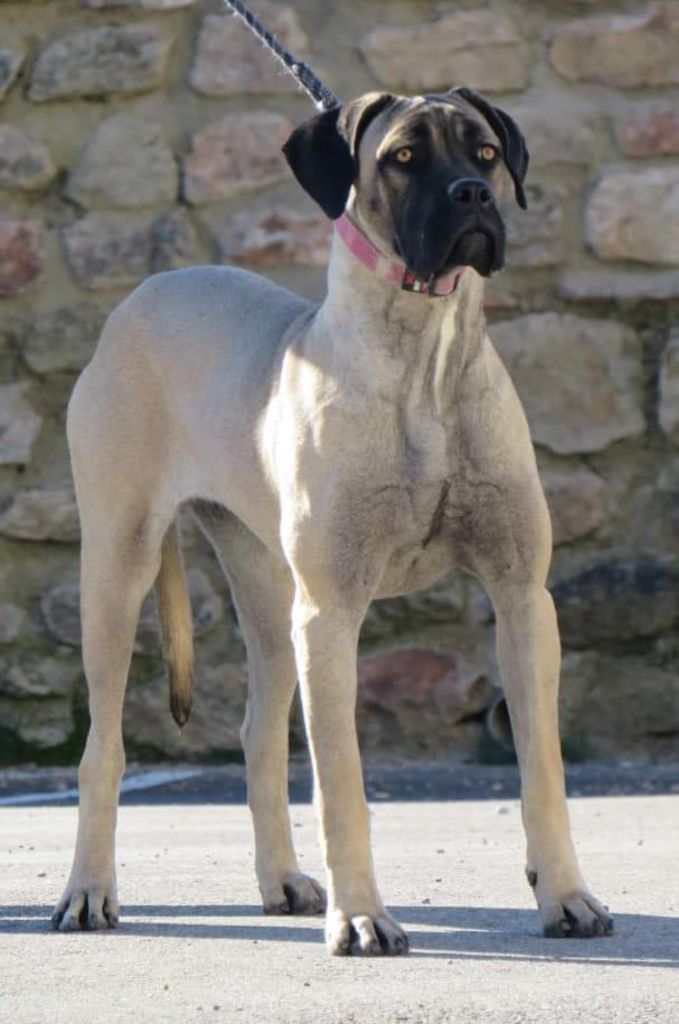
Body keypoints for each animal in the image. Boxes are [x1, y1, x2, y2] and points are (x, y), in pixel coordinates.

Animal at [53, 88, 614, 950]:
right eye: (403, 156)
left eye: (484, 152)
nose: (472, 197)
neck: (423, 360)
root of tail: (142, 295)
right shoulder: (332, 613)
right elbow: (342, 781)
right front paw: (361, 918)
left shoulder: (522, 597)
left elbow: (543, 770)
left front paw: (564, 895)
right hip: (120, 571)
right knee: (102, 749)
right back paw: (88, 890)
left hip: (269, 592)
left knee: (256, 735)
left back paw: (280, 880)